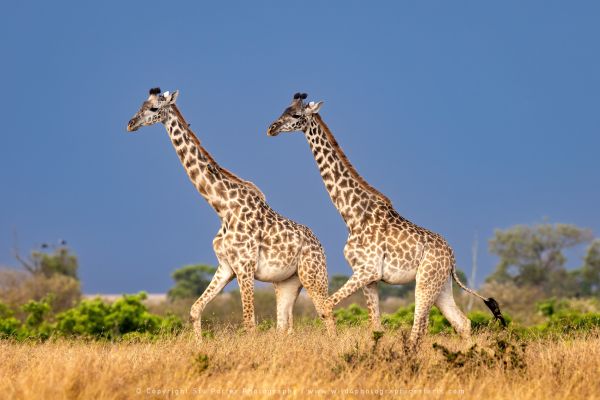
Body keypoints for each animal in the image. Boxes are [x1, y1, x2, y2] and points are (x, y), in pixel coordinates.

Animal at [127, 87, 336, 338]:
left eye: (153, 108)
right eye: (140, 105)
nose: (130, 123)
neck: (222, 207)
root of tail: (320, 246)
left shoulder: (245, 267)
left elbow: (249, 323)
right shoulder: (226, 266)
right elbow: (195, 310)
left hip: (313, 274)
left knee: (326, 311)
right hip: (288, 282)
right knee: (285, 324)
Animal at [264, 92, 504, 348]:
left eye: (296, 115)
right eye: (284, 110)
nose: (271, 128)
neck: (352, 215)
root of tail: (452, 257)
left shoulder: (368, 270)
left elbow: (326, 307)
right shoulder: (369, 277)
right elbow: (375, 325)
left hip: (426, 281)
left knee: (419, 328)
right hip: (441, 286)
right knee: (462, 323)